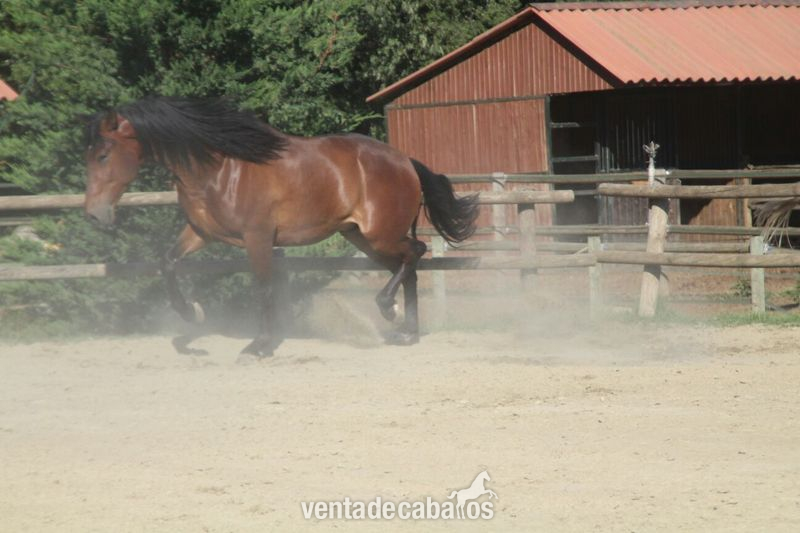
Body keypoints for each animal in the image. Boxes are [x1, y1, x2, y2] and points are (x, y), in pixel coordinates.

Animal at [84, 96, 478, 358]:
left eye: (103, 155)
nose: (93, 214)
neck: (217, 170)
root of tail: (405, 161)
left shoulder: (257, 237)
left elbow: (263, 287)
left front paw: (259, 346)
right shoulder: (201, 232)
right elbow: (167, 263)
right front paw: (192, 314)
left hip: (381, 234)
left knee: (416, 254)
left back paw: (389, 311)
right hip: (362, 237)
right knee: (409, 268)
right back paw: (406, 332)